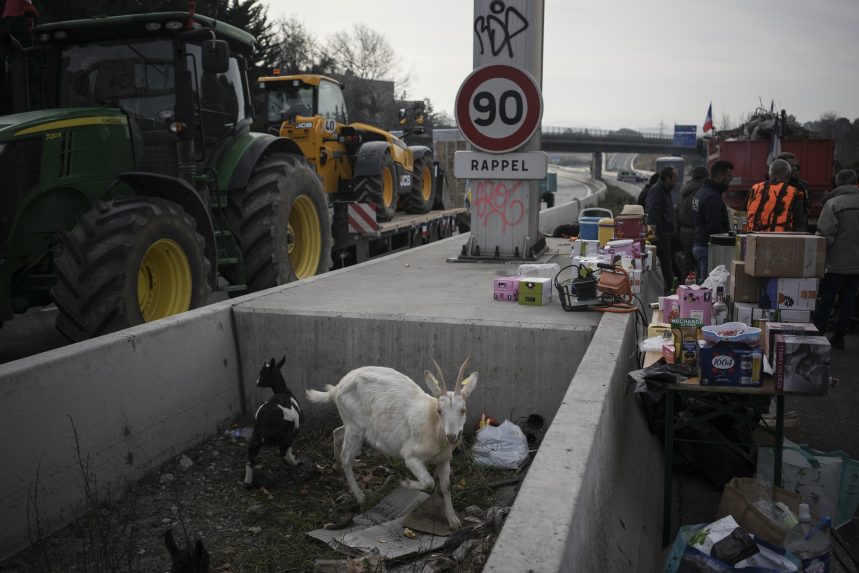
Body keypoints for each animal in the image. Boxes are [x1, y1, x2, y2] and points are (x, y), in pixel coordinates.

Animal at [306, 358, 478, 528]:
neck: (433, 426)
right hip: (354, 427)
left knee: (337, 432)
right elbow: (429, 483)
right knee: (347, 458)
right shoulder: (411, 457)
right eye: (439, 411)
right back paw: (361, 497)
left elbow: (446, 487)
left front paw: (453, 521)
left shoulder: (444, 460)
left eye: (463, 410)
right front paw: (404, 482)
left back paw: (336, 467)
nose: (452, 436)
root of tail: (336, 389)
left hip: (351, 425)